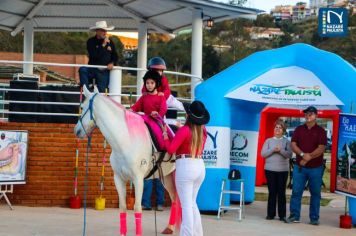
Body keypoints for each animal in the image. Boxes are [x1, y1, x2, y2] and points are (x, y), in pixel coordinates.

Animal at [74, 86, 177, 236]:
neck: (125, 141)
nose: (76, 131)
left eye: (82, 107)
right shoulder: (119, 179)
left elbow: (137, 209)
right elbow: (122, 208)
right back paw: (170, 228)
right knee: (175, 198)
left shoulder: (138, 180)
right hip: (167, 177)